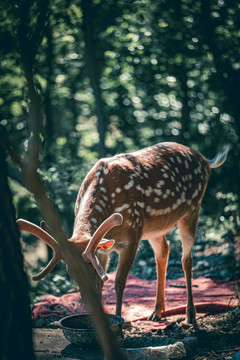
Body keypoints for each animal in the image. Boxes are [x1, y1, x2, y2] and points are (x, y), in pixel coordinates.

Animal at [17, 142, 229, 322]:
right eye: (70, 271)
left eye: (90, 267)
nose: (87, 300)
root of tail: (205, 160)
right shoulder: (102, 249)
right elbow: (102, 283)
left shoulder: (132, 236)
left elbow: (119, 283)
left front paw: (120, 321)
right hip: (154, 228)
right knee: (163, 252)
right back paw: (156, 311)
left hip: (193, 208)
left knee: (187, 258)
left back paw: (190, 315)